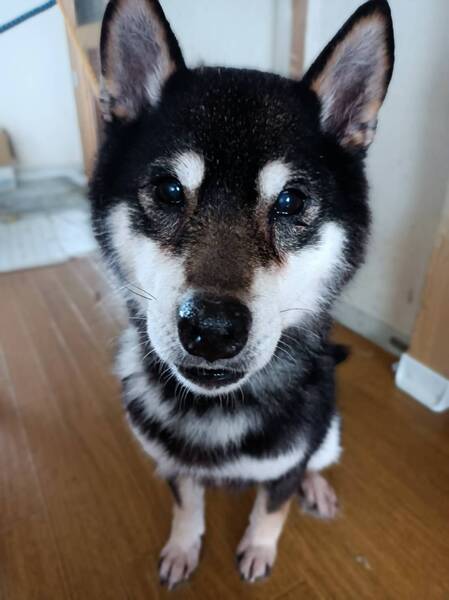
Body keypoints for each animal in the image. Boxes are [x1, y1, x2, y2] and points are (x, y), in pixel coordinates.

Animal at [90, 0, 394, 588]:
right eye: (168, 190)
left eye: (291, 201)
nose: (211, 329)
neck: (218, 410)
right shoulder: (176, 463)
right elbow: (187, 504)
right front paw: (184, 547)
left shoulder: (289, 459)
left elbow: (272, 506)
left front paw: (258, 547)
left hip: (330, 428)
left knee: (318, 459)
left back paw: (317, 488)